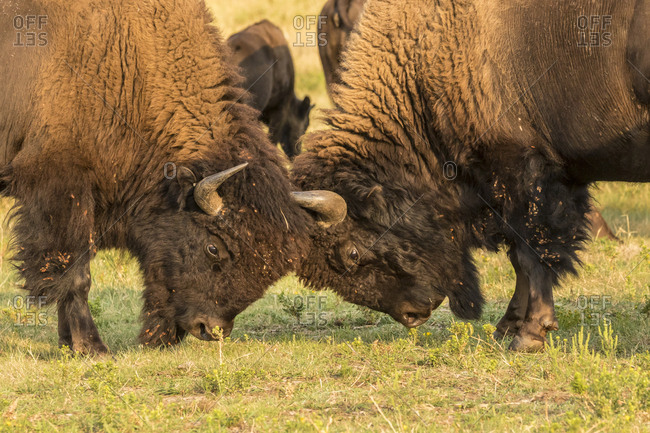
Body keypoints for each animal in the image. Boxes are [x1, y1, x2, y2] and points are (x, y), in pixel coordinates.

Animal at [293, 0, 650, 352]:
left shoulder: (522, 176)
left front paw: (529, 335)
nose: (411, 315)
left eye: (351, 253)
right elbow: (519, 256)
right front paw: (506, 327)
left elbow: (530, 253)